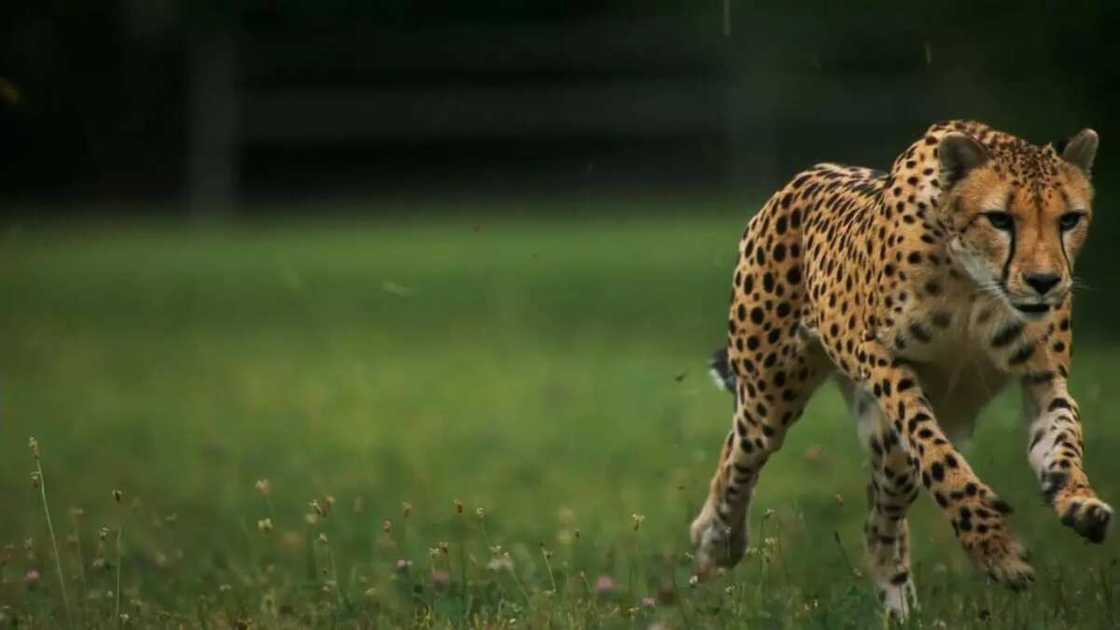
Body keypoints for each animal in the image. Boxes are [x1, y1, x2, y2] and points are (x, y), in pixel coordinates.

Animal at [689, 119, 1111, 614]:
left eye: (1069, 219)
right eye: (1001, 219)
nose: (1044, 282)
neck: (976, 285)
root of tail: (801, 178)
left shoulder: (1044, 378)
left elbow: (1063, 441)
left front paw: (1077, 499)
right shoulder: (881, 359)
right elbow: (939, 458)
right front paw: (995, 548)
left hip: (888, 452)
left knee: (879, 523)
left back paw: (899, 610)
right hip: (770, 395)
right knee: (738, 458)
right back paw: (717, 541)